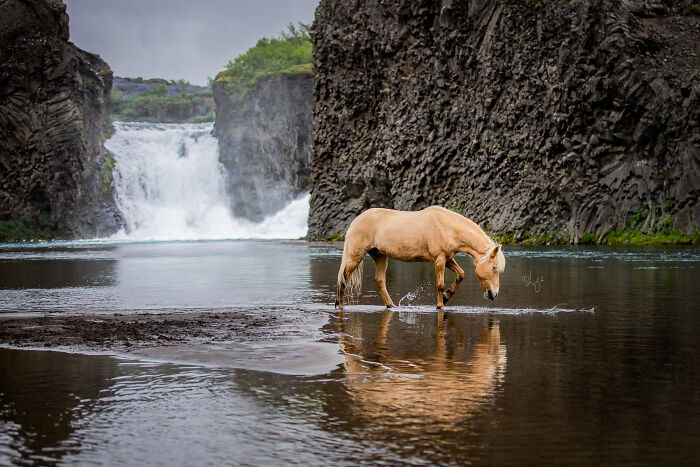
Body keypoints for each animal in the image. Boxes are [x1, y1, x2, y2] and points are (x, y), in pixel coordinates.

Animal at [335, 206, 506, 309]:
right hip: (356, 255)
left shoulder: (448, 259)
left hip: (380, 256)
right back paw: (339, 304)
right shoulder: (439, 260)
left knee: (379, 279)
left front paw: (446, 297)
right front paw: (440, 305)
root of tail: (355, 221)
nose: (494, 294)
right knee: (344, 276)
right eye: (494, 267)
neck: (447, 227)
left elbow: (461, 274)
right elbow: (440, 284)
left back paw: (391, 305)